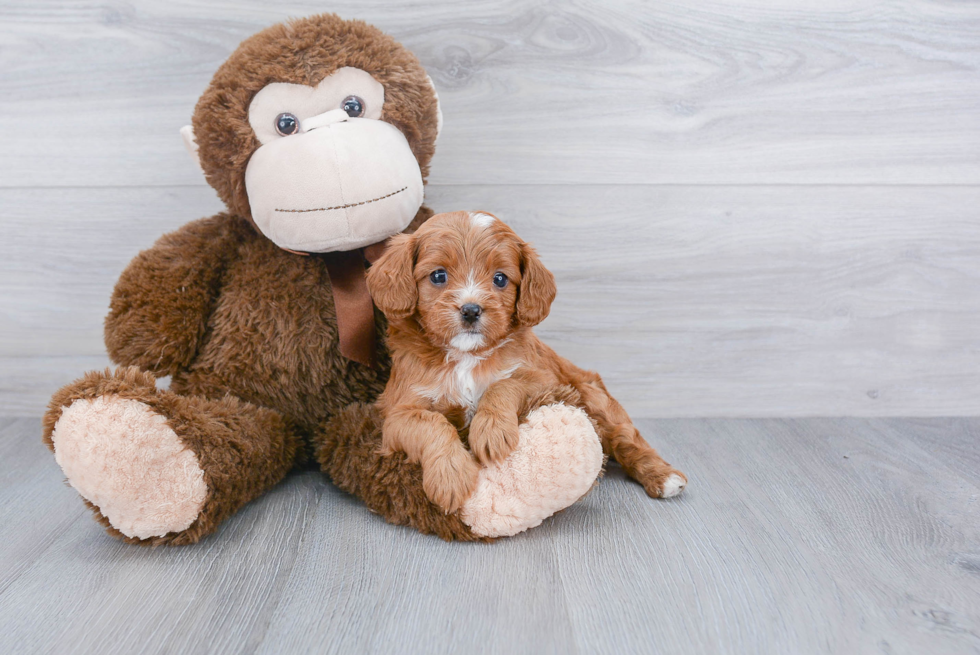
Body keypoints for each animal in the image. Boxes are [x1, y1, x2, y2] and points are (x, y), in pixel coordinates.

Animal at [364, 213, 684, 516]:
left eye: (500, 279)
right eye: (438, 275)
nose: (471, 310)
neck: (467, 356)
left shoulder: (548, 380)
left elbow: (505, 384)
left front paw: (491, 430)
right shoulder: (397, 413)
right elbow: (431, 423)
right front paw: (451, 476)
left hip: (594, 397)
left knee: (626, 439)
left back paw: (664, 477)